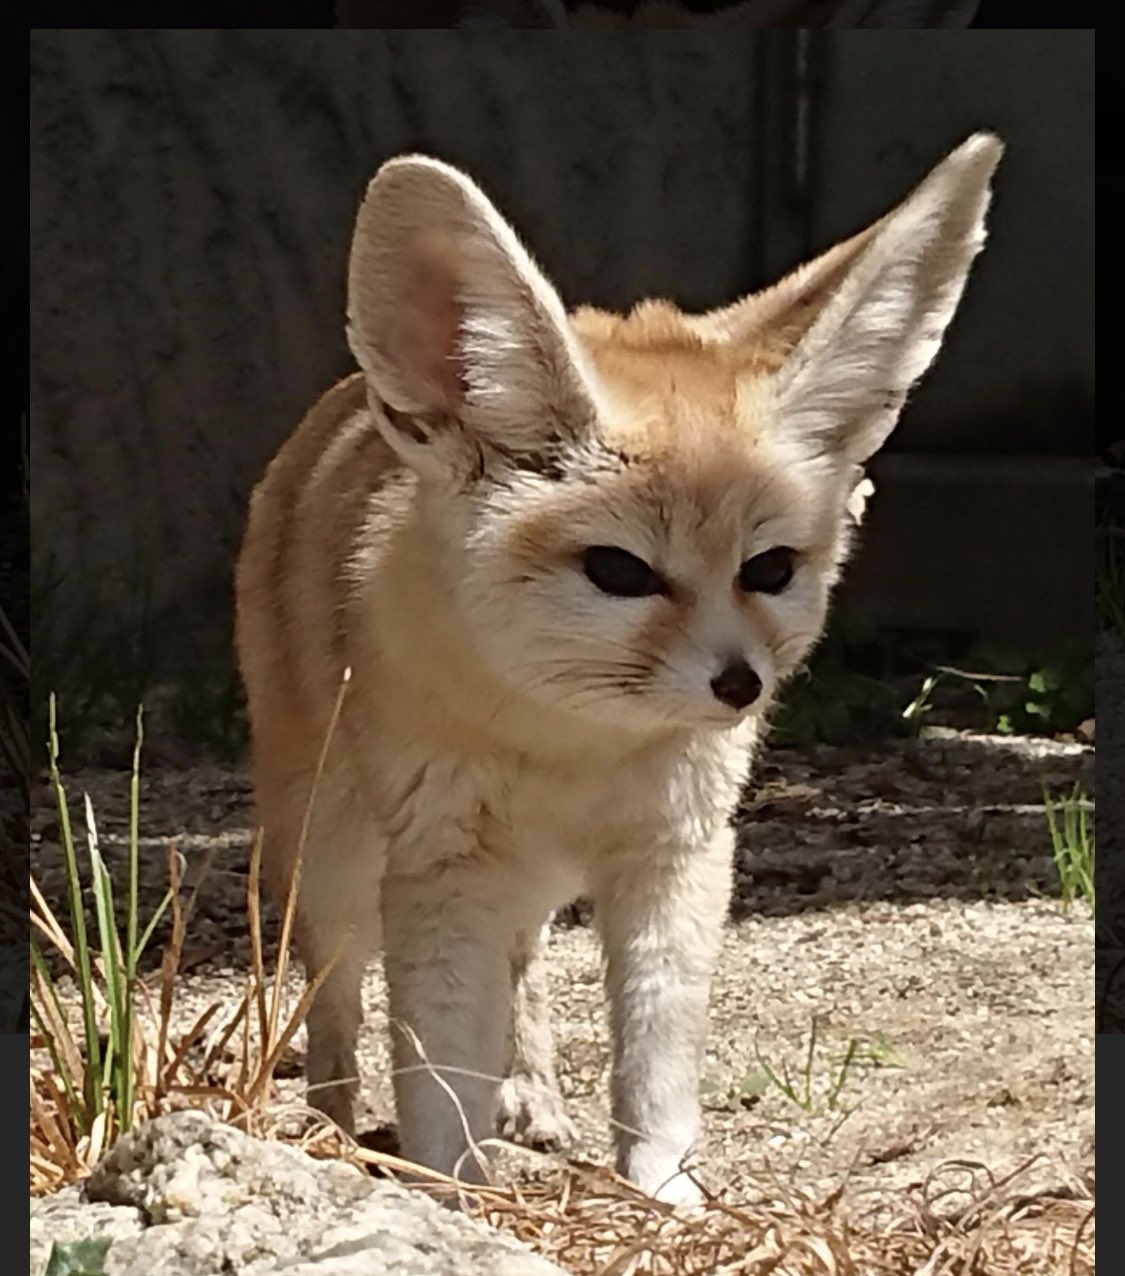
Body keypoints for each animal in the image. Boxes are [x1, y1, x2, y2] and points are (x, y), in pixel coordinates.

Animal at [234, 134, 1000, 1199]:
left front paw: (664, 1191)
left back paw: (528, 1094)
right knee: (336, 999)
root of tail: (337, 408)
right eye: (619, 572)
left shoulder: (675, 855)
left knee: (518, 965)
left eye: (769, 570)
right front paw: (452, 1190)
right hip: (331, 860)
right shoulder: (443, 867)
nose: (740, 686)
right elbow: (437, 1064)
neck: (573, 747)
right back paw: (331, 1125)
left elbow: (654, 1056)